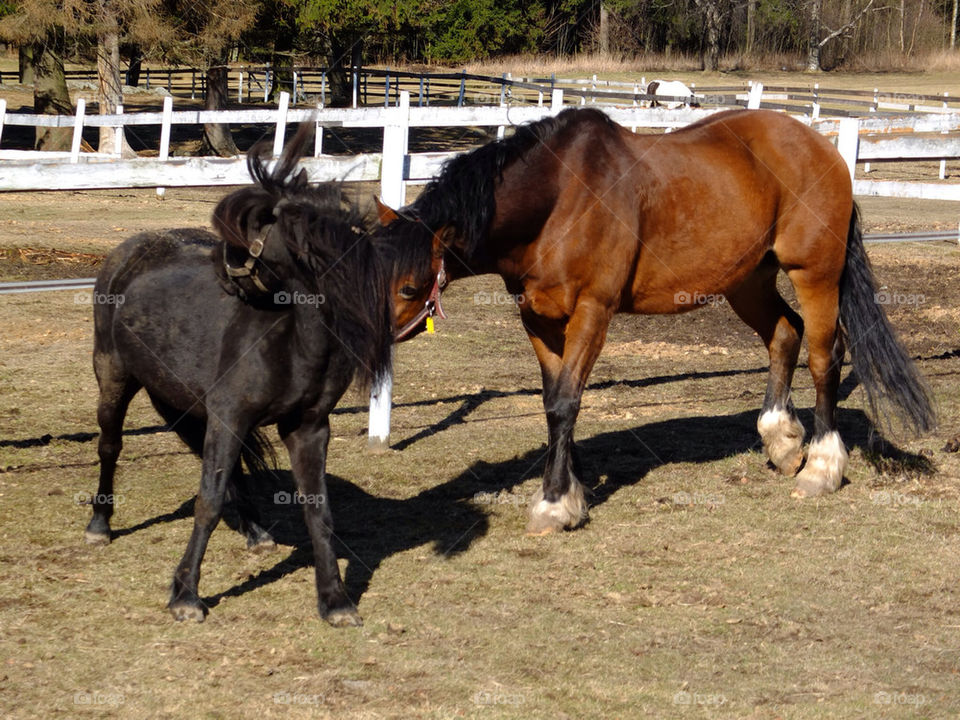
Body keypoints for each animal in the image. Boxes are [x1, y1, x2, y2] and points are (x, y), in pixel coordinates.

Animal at [86, 127, 393, 625]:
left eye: (252, 223)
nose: (223, 269)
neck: (294, 338)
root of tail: (131, 249)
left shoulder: (306, 427)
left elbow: (317, 510)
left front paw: (335, 600)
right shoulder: (229, 417)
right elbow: (208, 502)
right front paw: (186, 595)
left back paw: (256, 532)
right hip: (113, 378)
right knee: (110, 447)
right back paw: (99, 524)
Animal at [377, 107, 934, 535]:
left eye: (408, 288)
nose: (371, 343)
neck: (560, 199)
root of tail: (824, 149)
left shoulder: (592, 312)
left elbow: (565, 401)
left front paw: (554, 504)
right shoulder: (538, 319)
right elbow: (554, 400)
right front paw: (573, 488)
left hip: (814, 274)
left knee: (824, 356)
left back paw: (820, 468)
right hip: (747, 281)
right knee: (784, 334)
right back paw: (781, 439)